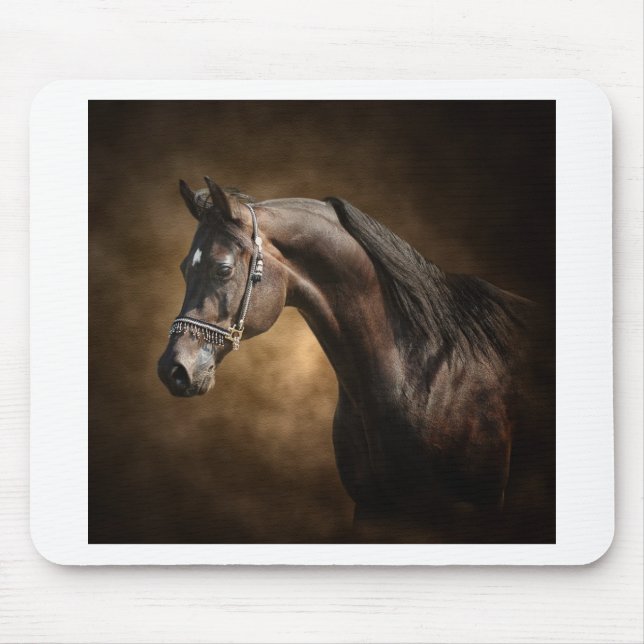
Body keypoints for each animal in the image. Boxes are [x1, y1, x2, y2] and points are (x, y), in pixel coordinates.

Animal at [158, 177, 555, 543]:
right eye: (183, 267)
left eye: (223, 269)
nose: (173, 369)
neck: (426, 371)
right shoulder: (373, 509)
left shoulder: (474, 509)